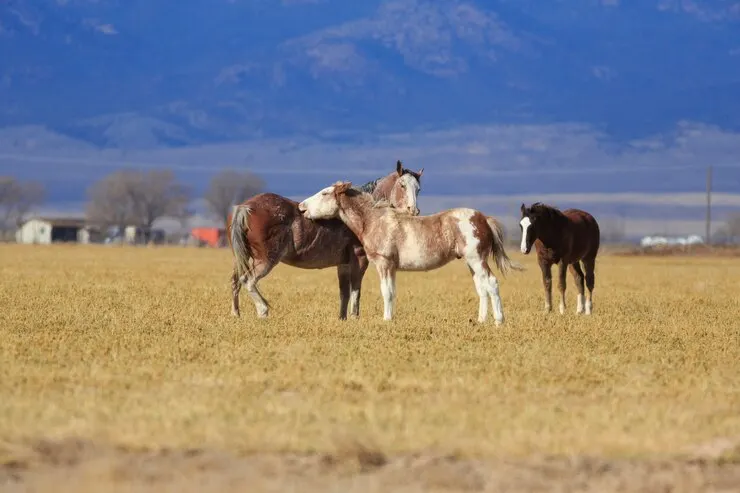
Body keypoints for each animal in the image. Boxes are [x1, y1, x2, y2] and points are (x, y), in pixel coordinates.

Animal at [227, 161, 424, 320]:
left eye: (418, 189)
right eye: (402, 185)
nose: (413, 210)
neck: (362, 213)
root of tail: (246, 206)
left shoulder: (343, 264)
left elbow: (344, 293)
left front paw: (342, 318)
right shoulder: (359, 259)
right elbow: (356, 291)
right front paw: (354, 317)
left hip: (243, 258)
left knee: (236, 281)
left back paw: (236, 314)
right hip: (266, 259)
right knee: (248, 280)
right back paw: (262, 310)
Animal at [297, 182, 522, 325]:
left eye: (325, 193)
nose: (301, 207)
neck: (376, 220)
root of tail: (483, 218)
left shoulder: (385, 264)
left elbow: (386, 292)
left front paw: (386, 320)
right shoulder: (391, 268)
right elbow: (392, 292)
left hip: (477, 260)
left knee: (491, 283)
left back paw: (499, 321)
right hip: (471, 263)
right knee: (482, 288)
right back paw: (481, 320)